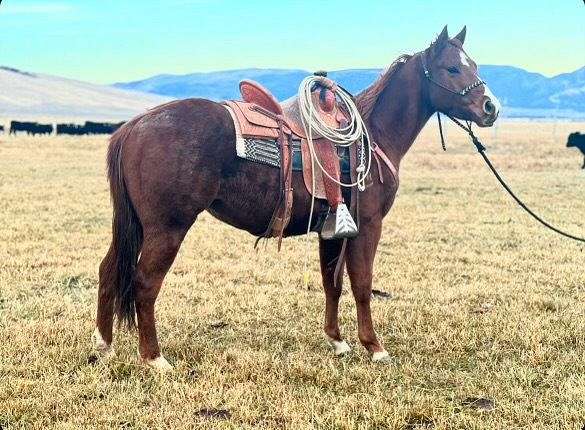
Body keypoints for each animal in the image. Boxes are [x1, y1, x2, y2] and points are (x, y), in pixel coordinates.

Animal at [93, 26, 500, 370]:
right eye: (451, 68)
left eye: (474, 65)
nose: (490, 108)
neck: (373, 134)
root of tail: (132, 127)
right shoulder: (368, 225)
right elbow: (362, 283)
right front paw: (374, 347)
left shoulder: (332, 229)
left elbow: (332, 282)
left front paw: (337, 341)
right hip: (167, 228)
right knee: (145, 281)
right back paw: (154, 358)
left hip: (134, 225)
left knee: (108, 269)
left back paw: (104, 344)